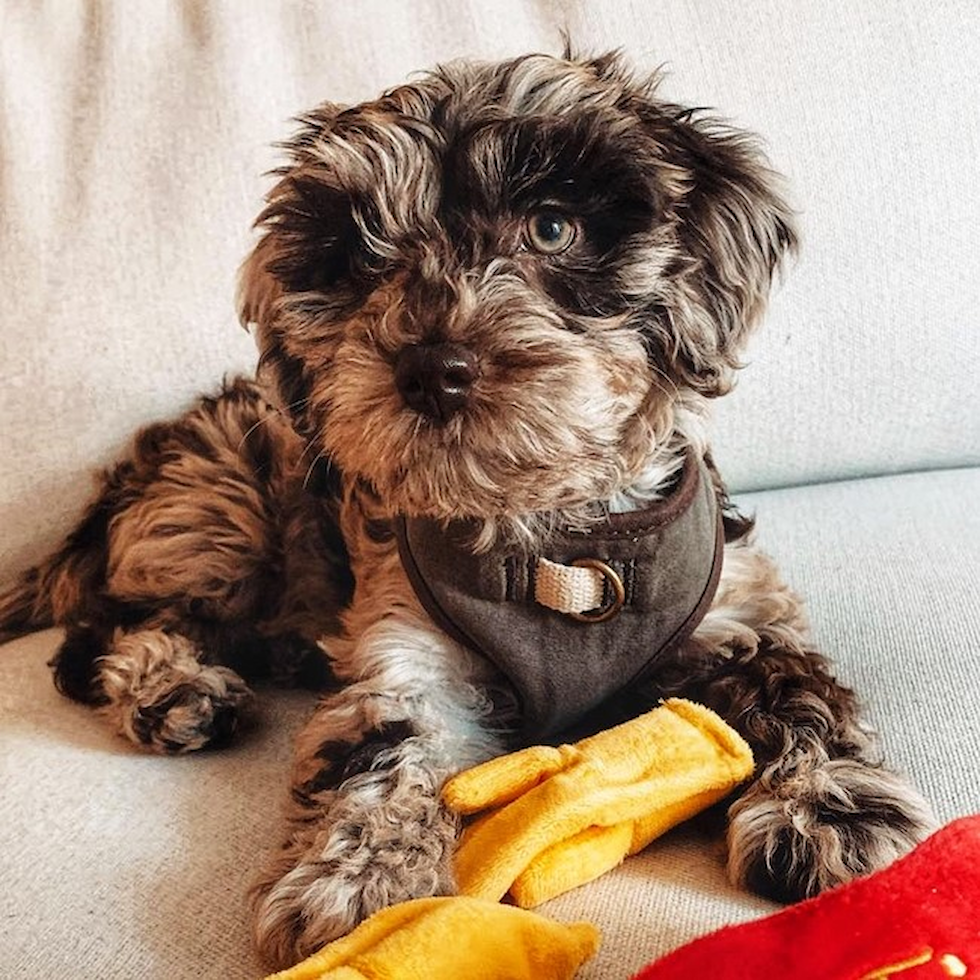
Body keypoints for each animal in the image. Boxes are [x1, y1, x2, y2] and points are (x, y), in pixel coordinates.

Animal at [0, 51, 936, 964]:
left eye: (553, 228)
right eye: (358, 260)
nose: (430, 369)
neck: (558, 545)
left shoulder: (740, 611)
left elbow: (801, 699)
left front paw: (833, 809)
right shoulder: (409, 647)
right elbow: (383, 746)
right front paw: (357, 881)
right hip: (223, 505)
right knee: (109, 629)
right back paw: (174, 688)